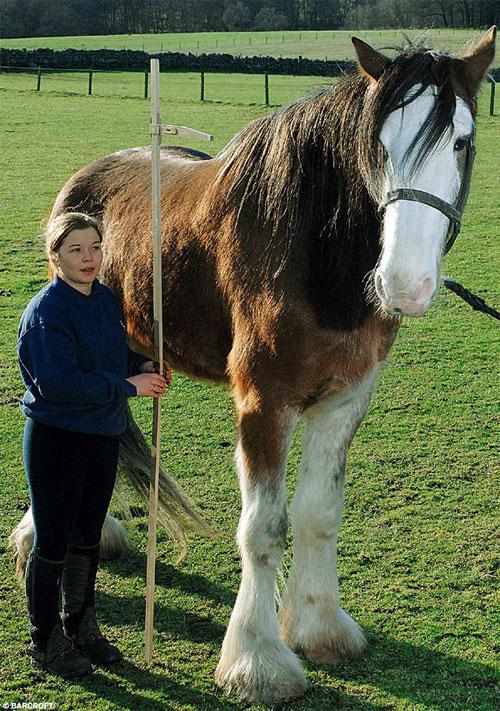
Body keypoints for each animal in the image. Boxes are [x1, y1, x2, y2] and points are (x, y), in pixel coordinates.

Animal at [9, 29, 494, 708]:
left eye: (461, 141)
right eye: (378, 145)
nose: (404, 283)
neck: (317, 263)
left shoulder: (342, 404)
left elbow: (319, 515)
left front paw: (319, 627)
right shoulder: (265, 403)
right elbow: (264, 528)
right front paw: (258, 661)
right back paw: (36, 537)